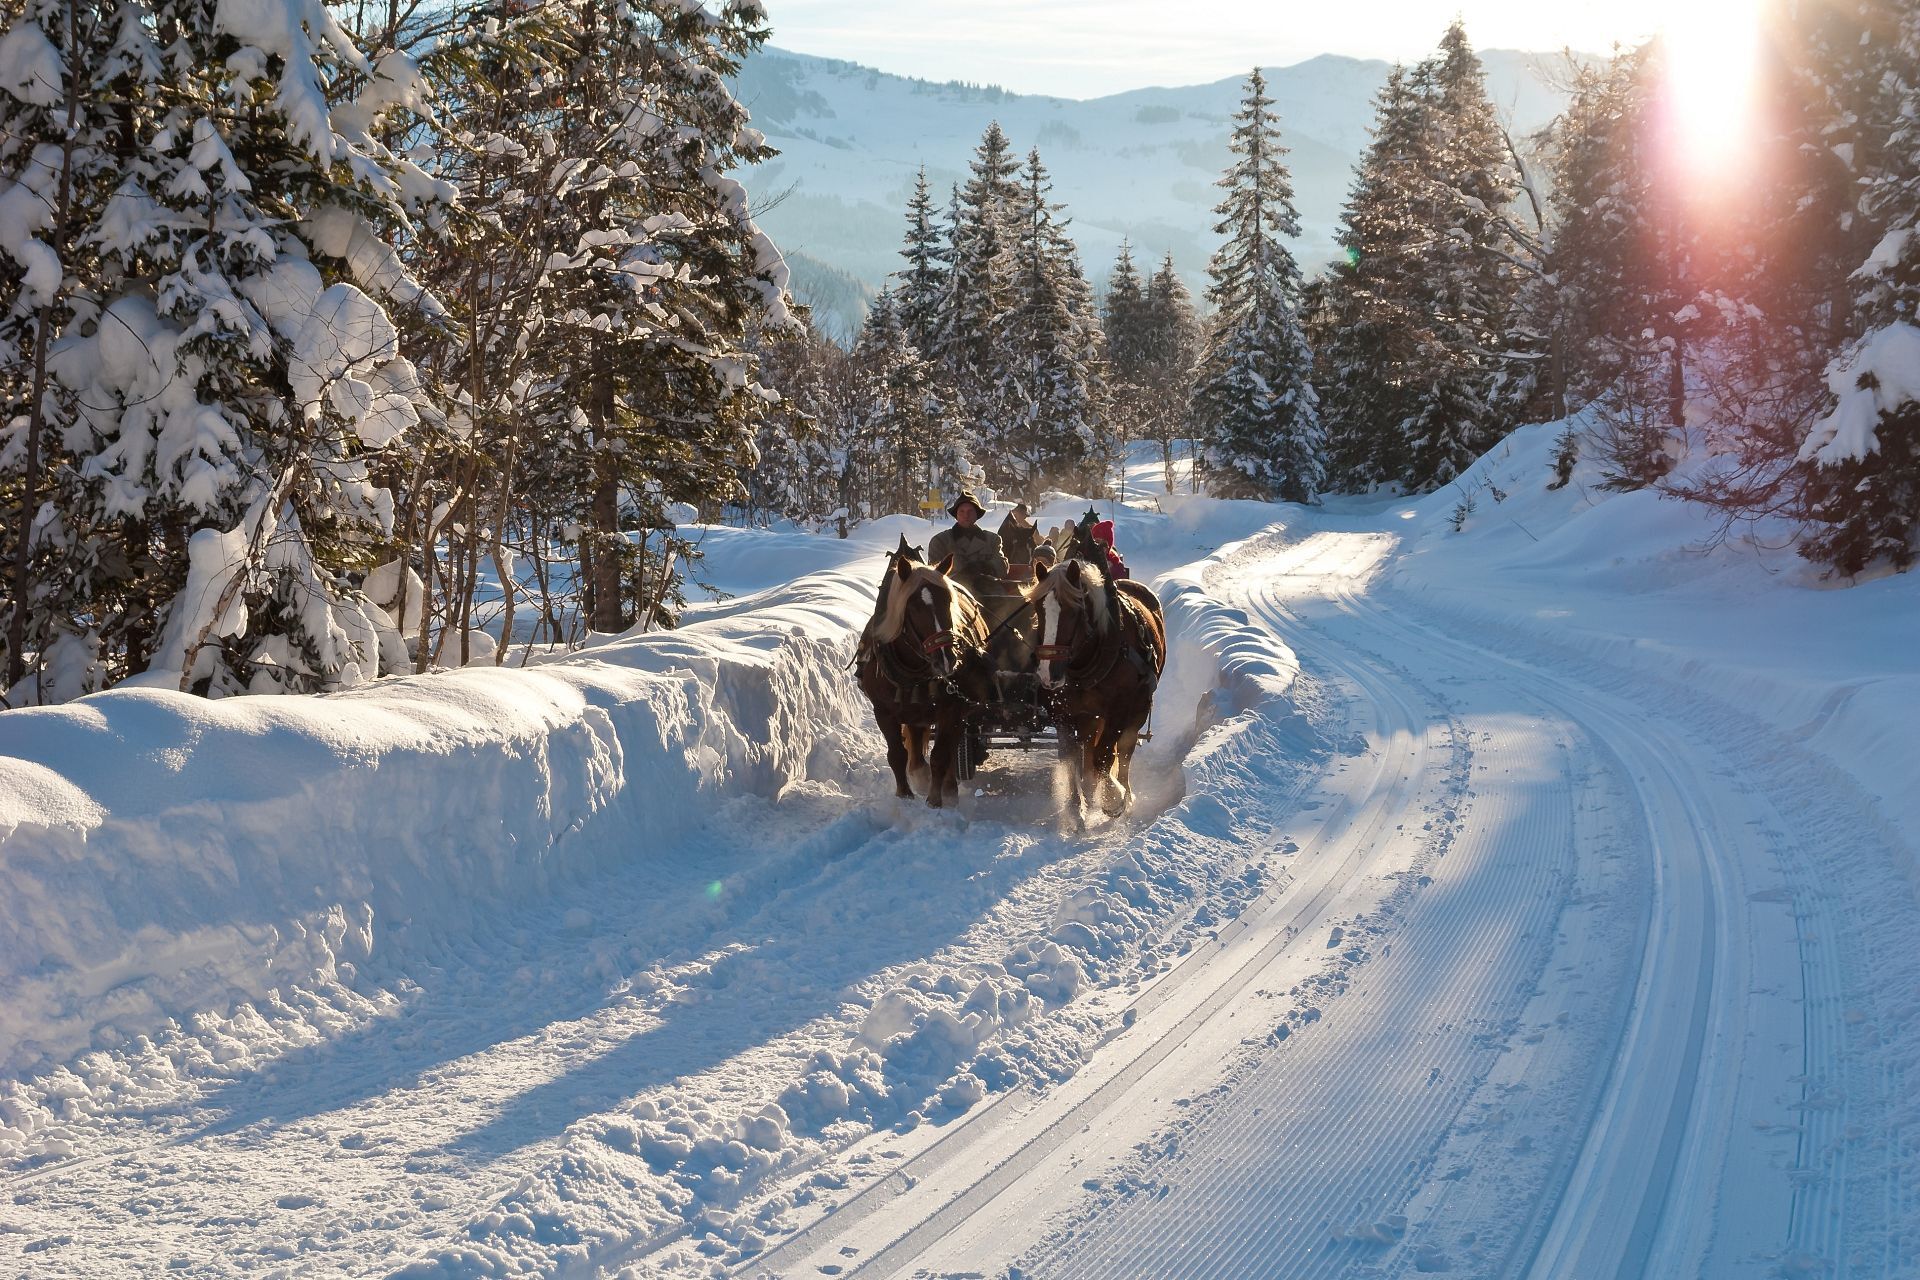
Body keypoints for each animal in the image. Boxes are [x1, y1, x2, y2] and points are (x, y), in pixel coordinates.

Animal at [864, 545, 998, 805]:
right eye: (913, 607)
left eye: (948, 600)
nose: (947, 659)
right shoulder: (883, 711)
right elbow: (897, 754)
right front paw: (904, 795)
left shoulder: (952, 708)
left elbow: (940, 755)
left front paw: (936, 800)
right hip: (915, 712)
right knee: (916, 747)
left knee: (950, 747)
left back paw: (948, 788)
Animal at [1029, 560, 1159, 821]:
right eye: (1039, 609)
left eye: (1073, 611)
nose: (1049, 674)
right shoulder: (1064, 712)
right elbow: (1070, 755)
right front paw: (1075, 806)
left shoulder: (1120, 708)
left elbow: (1104, 756)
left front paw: (1113, 798)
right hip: (1090, 715)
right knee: (1089, 747)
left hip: (1138, 708)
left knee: (1125, 749)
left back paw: (1124, 792)